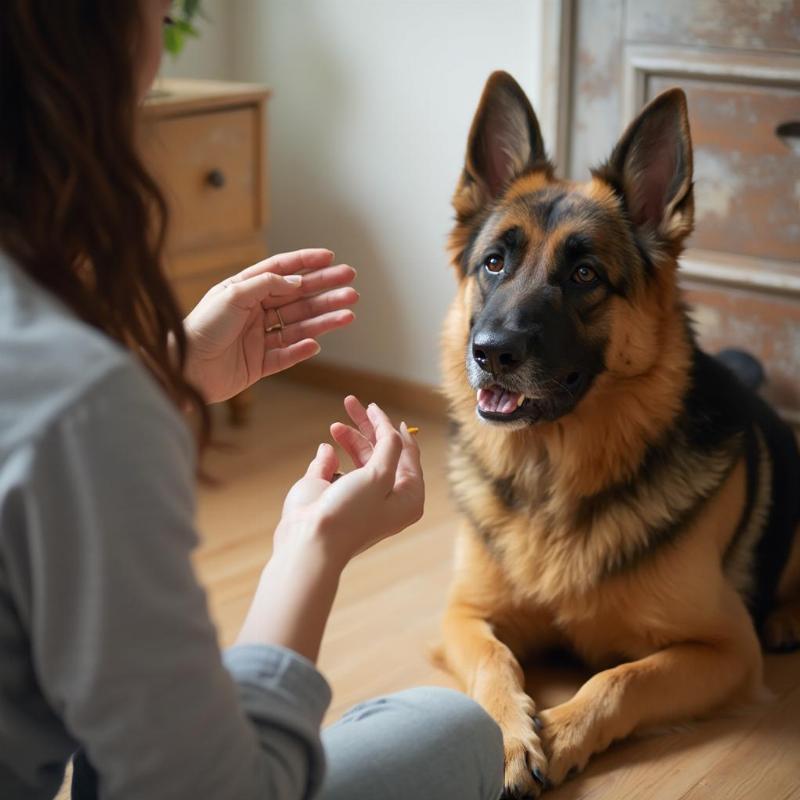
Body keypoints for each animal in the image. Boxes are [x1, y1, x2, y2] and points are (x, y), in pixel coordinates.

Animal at [440, 72, 800, 796]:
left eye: (585, 275)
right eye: (493, 263)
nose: (489, 353)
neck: (554, 477)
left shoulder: (724, 650)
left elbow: (621, 678)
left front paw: (560, 732)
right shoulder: (464, 618)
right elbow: (496, 664)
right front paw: (511, 737)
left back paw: (784, 617)